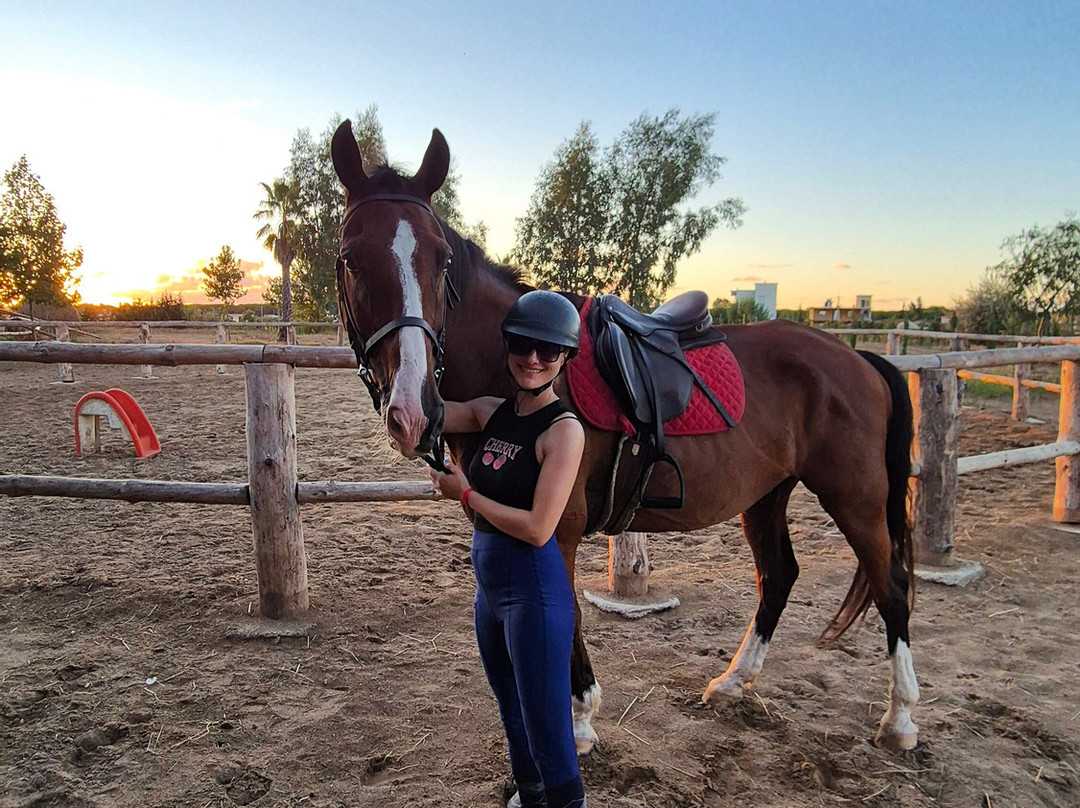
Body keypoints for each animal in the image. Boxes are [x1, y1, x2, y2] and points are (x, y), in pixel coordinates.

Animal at [330, 120, 921, 753]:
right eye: (350, 259)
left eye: (441, 262)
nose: (414, 409)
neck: (520, 367)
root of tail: (858, 358)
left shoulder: (555, 529)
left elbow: (562, 615)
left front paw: (579, 722)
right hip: (767, 495)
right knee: (778, 576)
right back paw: (733, 683)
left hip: (854, 498)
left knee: (891, 584)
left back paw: (900, 719)